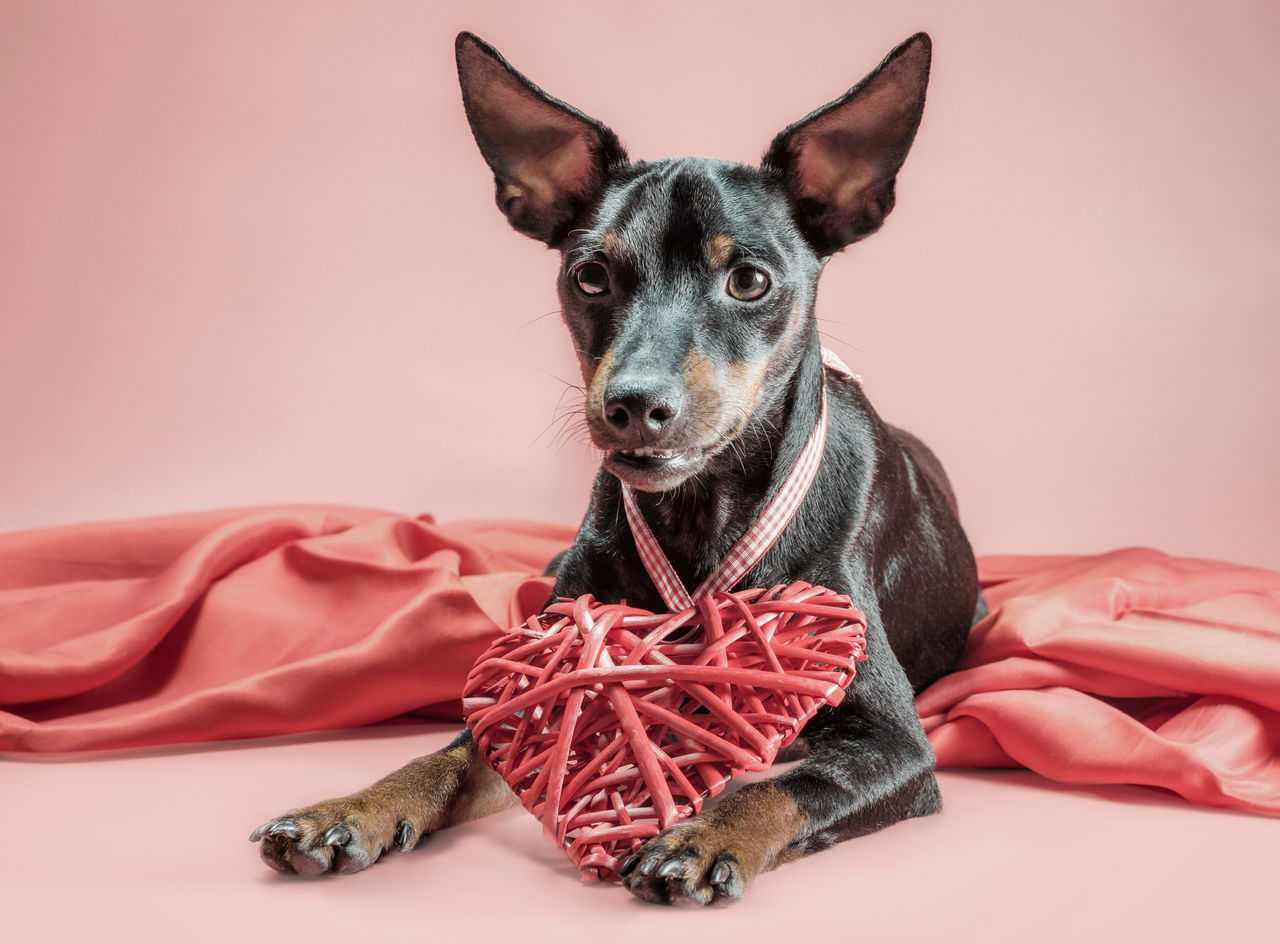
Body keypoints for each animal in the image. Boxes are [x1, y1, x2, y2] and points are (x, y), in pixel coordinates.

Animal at [254, 31, 983, 905]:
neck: (703, 513)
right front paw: (350, 809)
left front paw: (701, 838)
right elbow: (446, 757)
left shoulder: (897, 746)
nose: (635, 402)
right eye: (590, 276)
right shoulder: (540, 691)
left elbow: (787, 787)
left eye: (750, 280)